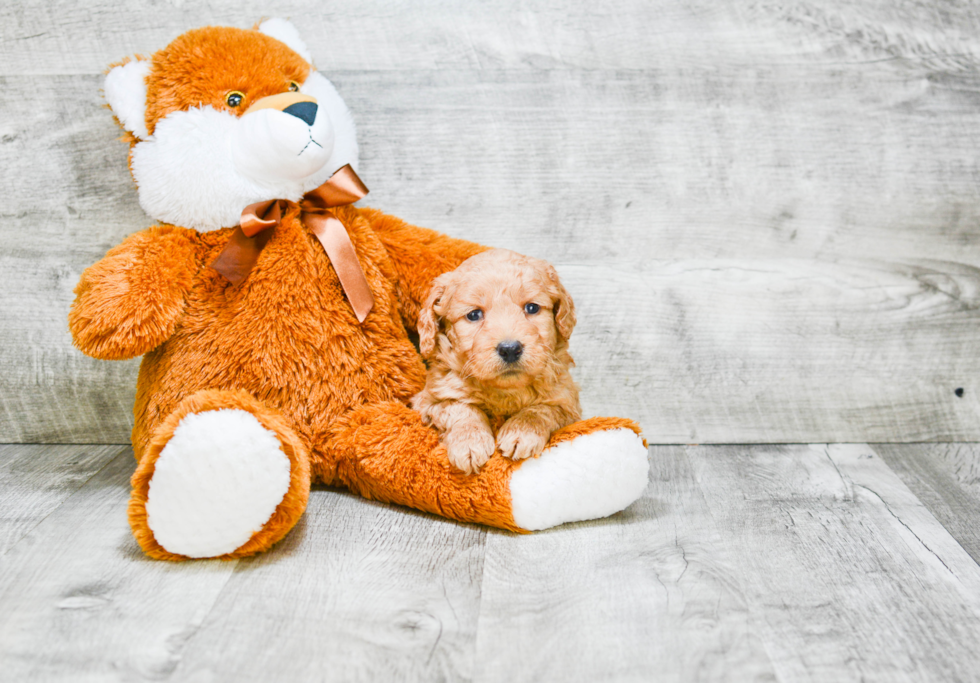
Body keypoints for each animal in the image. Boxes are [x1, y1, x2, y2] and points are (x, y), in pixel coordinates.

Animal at [410, 250, 580, 476]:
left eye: (532, 307)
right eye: (474, 314)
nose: (509, 349)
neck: (504, 391)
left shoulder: (568, 403)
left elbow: (540, 410)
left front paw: (521, 432)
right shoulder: (429, 400)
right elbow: (461, 408)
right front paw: (469, 442)